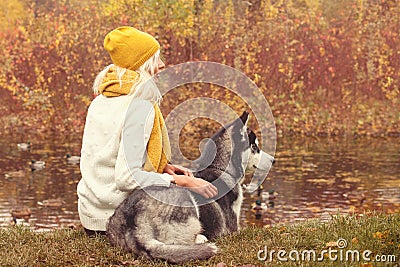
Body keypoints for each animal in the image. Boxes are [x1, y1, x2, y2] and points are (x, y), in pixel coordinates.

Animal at [106, 111, 276, 264]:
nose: (273, 160)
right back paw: (201, 239)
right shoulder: (233, 228)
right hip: (185, 199)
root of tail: (138, 225)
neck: (220, 168)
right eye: (254, 147)